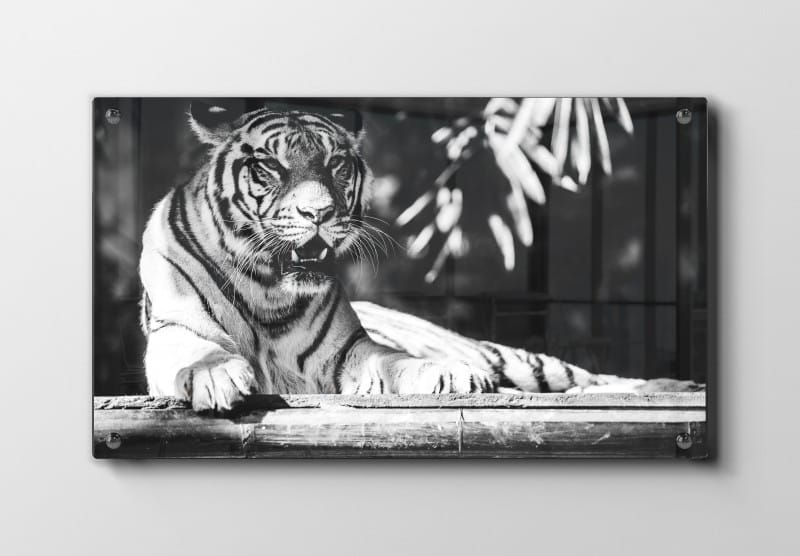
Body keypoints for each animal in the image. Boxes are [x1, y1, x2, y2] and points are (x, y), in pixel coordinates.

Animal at [140, 104, 697, 412]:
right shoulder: (174, 330)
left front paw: (448, 375)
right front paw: (214, 374)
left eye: (336, 164)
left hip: (518, 360)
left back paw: (672, 384)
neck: (268, 290)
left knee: (592, 379)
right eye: (270, 167)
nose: (318, 213)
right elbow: (196, 352)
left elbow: (396, 361)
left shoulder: (349, 351)